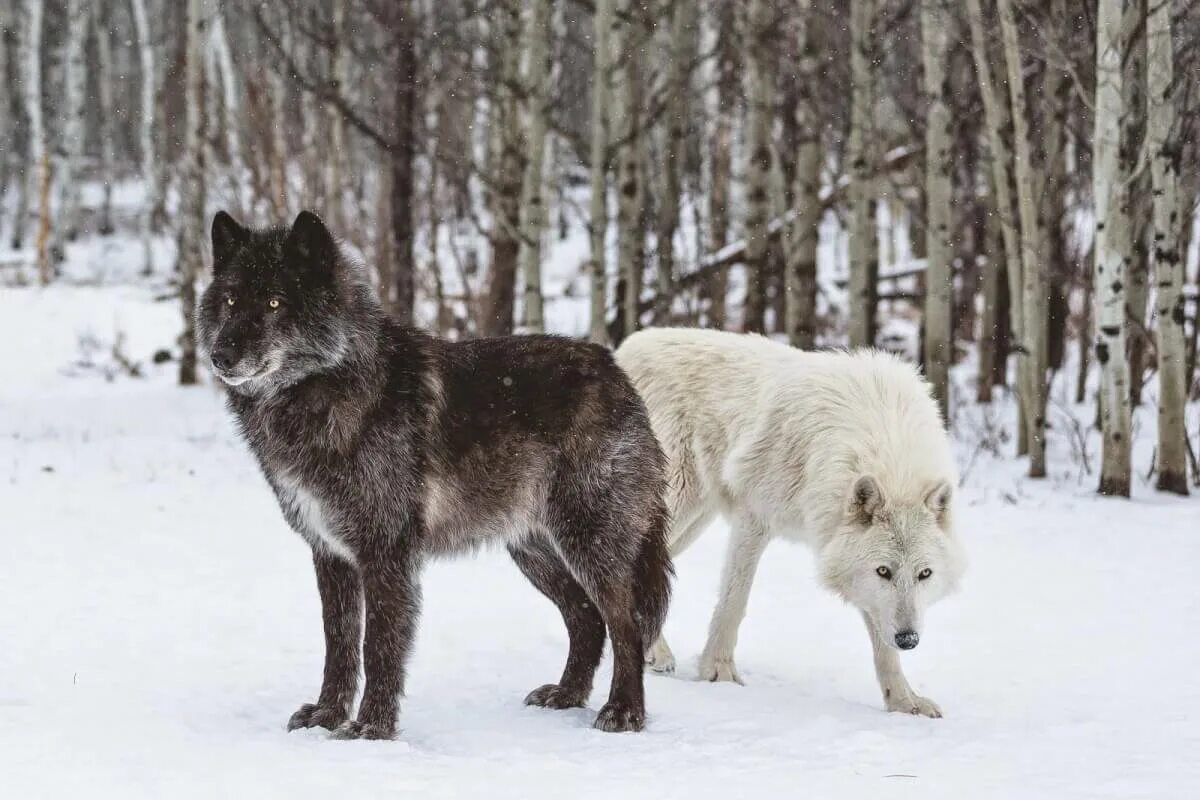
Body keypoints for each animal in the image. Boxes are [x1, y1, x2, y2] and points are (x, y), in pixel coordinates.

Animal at [192, 211, 672, 738]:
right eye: (231, 300)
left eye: (276, 302)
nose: (220, 356)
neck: (323, 389)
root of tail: (614, 368)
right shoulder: (331, 553)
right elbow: (338, 643)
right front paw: (327, 716)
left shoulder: (386, 552)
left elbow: (378, 647)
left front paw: (372, 727)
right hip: (534, 550)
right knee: (586, 619)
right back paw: (566, 695)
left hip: (588, 542)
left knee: (626, 623)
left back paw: (624, 711)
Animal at [614, 328, 969, 714]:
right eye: (884, 571)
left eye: (925, 574)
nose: (909, 639)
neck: (887, 447)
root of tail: (626, 347)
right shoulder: (753, 518)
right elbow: (733, 604)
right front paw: (719, 673)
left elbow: (883, 647)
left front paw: (904, 701)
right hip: (677, 503)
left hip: (693, 519)